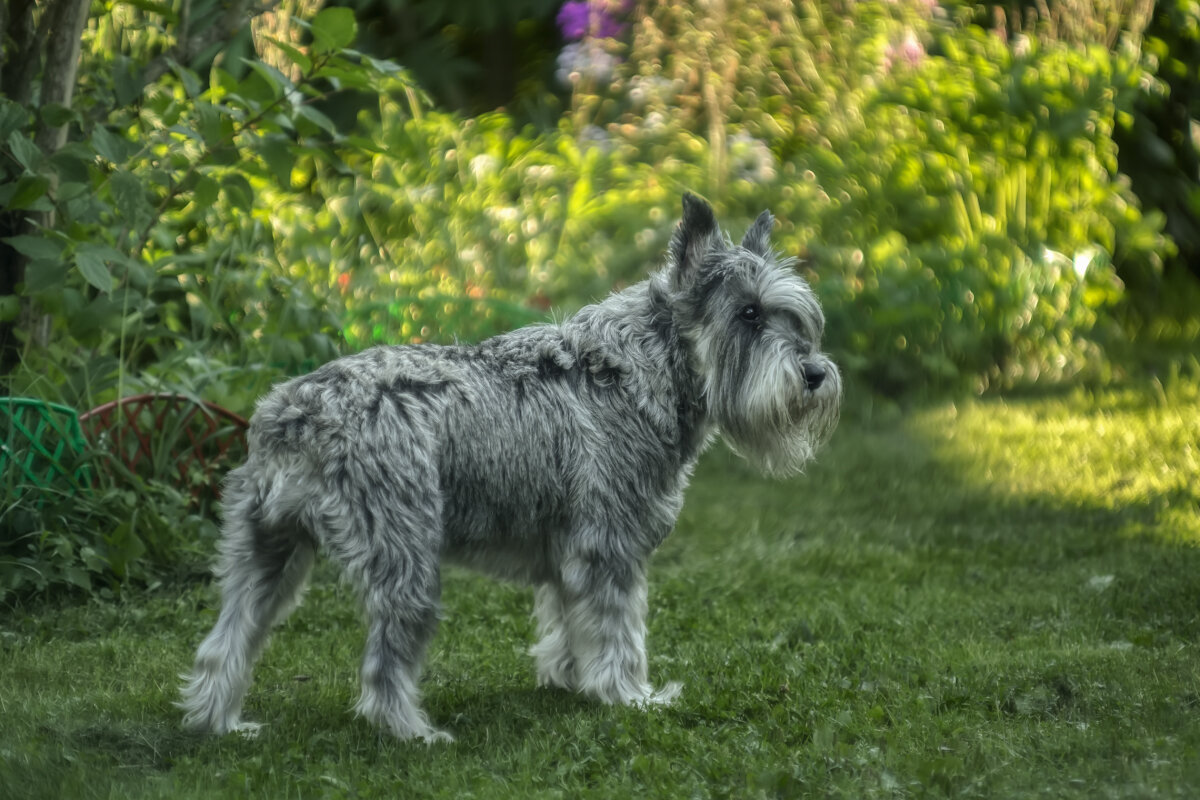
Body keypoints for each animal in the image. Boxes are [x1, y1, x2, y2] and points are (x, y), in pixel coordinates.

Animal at [177, 194, 840, 743]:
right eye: (748, 314)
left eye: (796, 318)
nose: (814, 374)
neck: (640, 368)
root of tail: (296, 416)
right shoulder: (611, 549)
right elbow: (618, 632)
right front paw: (629, 696)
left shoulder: (569, 553)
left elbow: (569, 623)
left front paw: (571, 681)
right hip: (406, 559)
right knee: (384, 665)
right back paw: (412, 732)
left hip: (265, 552)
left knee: (225, 641)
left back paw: (220, 722)